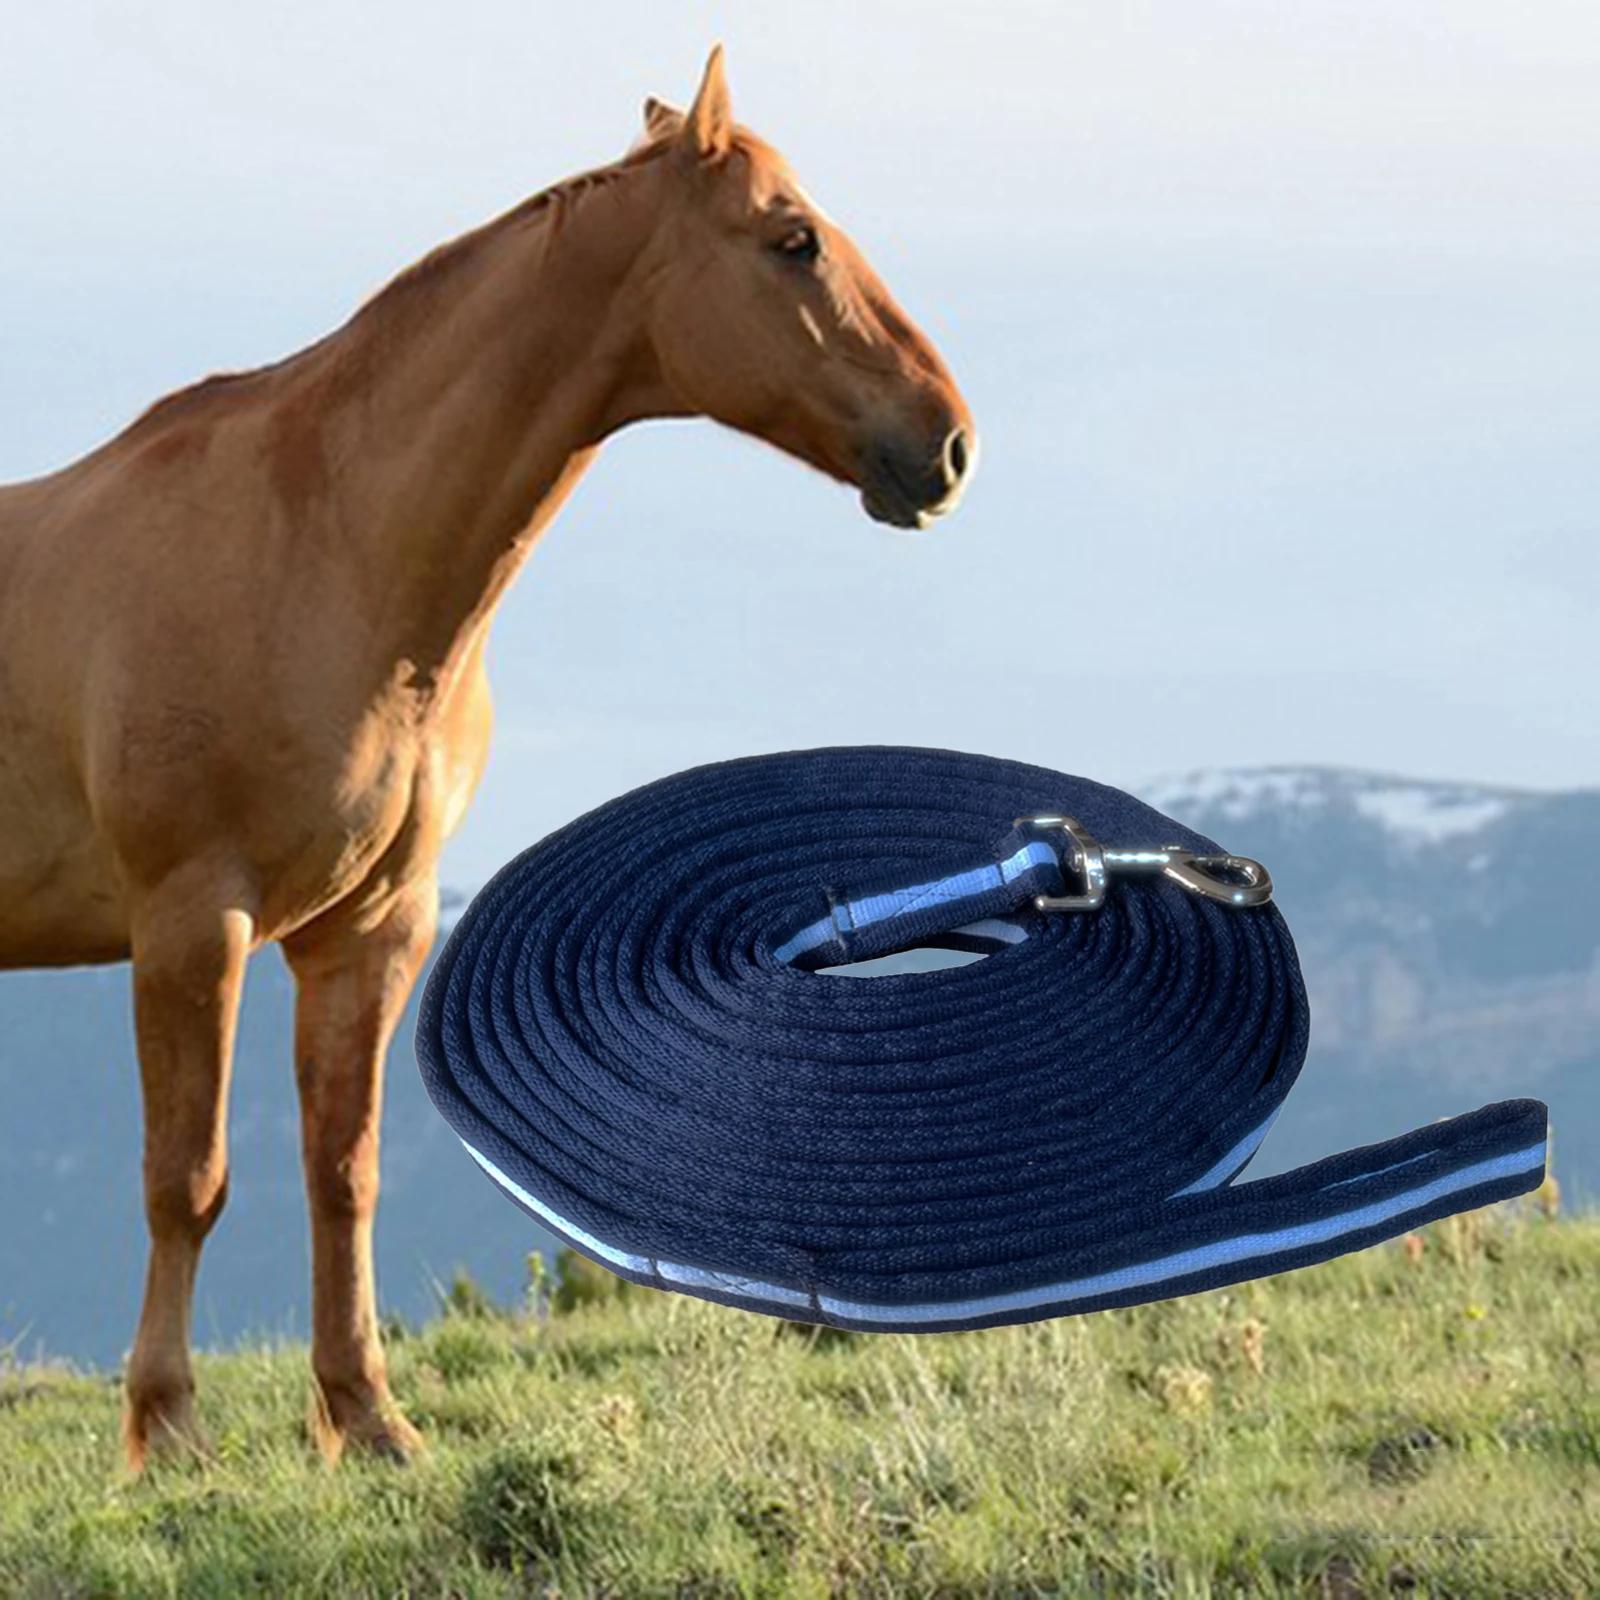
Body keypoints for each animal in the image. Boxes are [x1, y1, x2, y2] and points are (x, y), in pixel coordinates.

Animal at [0, 45, 974, 1471]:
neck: (318, 549)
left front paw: (366, 1418)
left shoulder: (370, 926)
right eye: (792, 238)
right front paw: (167, 1432)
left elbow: (341, 1171)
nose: (947, 441)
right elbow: (188, 1177)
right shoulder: (192, 921)